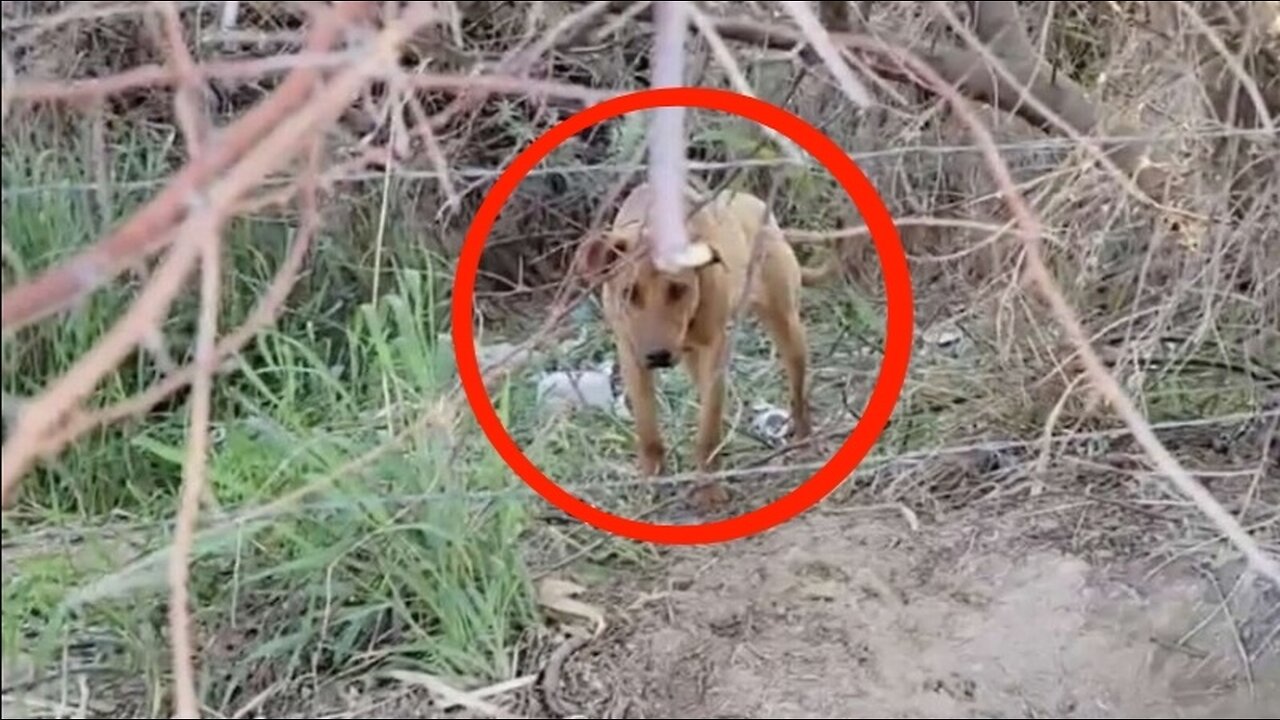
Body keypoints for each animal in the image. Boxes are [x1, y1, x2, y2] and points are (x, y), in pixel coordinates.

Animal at [573, 179, 829, 504]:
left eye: (678, 289)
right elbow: (648, 431)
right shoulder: (631, 355)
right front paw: (652, 483)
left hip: (786, 326)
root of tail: (761, 207)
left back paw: (803, 441)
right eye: (629, 293)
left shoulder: (714, 350)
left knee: (798, 393)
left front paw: (709, 488)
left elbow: (707, 429)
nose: (658, 355)